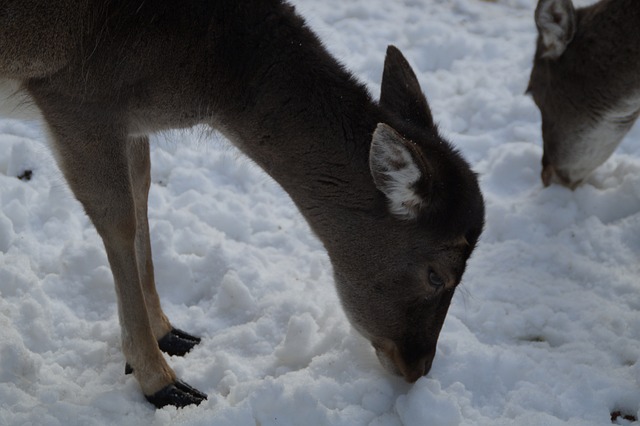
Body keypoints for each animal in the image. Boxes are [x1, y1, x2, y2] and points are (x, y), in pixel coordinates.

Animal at [0, 0, 480, 408]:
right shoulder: (76, 99)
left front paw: (170, 333)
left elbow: (142, 196)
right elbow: (118, 220)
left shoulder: (130, 125)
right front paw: (162, 382)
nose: (418, 367)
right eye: (436, 276)